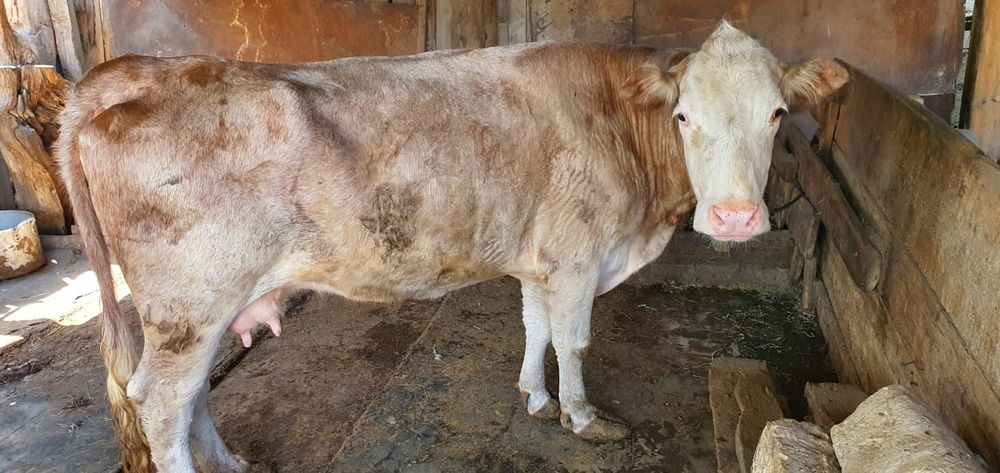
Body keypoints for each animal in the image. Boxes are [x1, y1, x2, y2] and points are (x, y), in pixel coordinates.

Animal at [56, 21, 847, 472]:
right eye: (684, 115)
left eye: (778, 113)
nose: (736, 218)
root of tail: (126, 76)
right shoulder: (578, 256)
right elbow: (575, 341)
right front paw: (583, 416)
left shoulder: (541, 257)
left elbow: (535, 328)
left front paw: (535, 397)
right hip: (189, 304)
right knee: (162, 402)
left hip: (206, 309)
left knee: (191, 399)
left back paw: (230, 463)